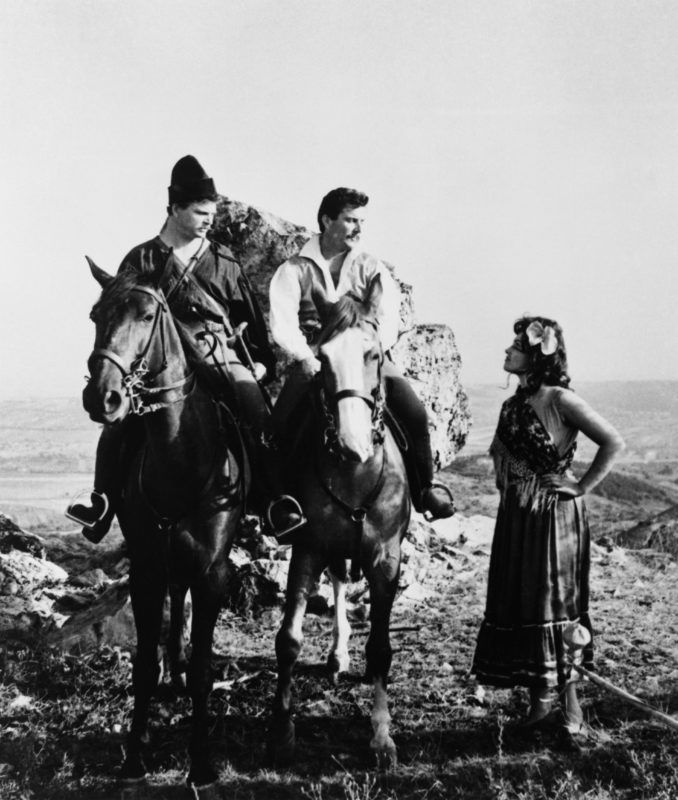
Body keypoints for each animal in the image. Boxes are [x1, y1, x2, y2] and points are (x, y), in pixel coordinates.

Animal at [82, 260, 247, 792]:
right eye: (96, 315)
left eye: (148, 314)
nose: (103, 397)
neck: (181, 459)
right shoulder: (147, 571)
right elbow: (142, 668)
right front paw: (133, 758)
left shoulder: (214, 573)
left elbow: (203, 671)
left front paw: (201, 764)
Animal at [270, 276, 410, 768]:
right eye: (324, 358)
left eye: (373, 354)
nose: (353, 444)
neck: (354, 473)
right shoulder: (307, 548)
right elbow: (288, 639)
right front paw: (282, 731)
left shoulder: (386, 560)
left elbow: (381, 650)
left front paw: (382, 736)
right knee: (336, 582)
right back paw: (337, 655)